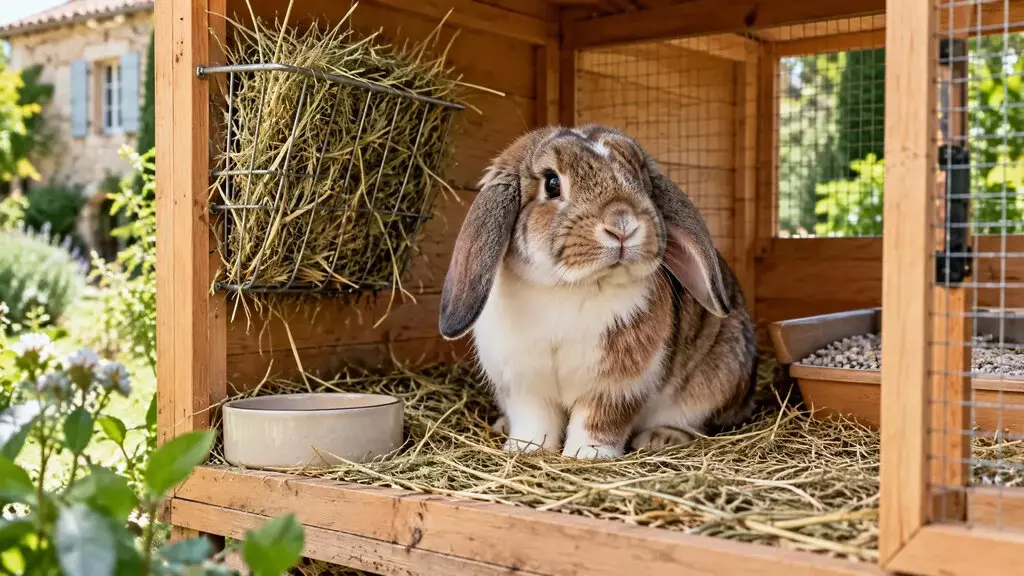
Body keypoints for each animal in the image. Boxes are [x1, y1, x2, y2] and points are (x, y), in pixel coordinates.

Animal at [439, 124, 757, 459]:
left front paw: (586, 455)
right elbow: (534, 421)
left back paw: (661, 437)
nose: (622, 224)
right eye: (552, 183)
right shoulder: (526, 387)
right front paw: (525, 449)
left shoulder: (616, 389)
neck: (567, 286)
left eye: (641, 178)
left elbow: (597, 422)